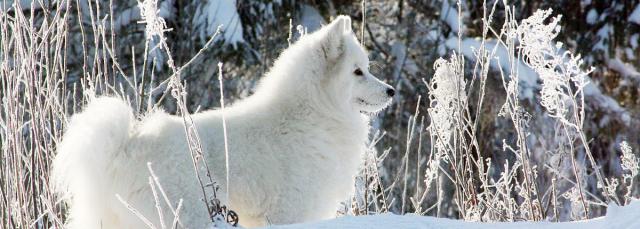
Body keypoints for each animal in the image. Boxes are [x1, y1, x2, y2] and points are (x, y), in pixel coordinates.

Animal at [53, 15, 396, 228]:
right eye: (358, 72)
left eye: (367, 68)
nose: (391, 91)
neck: (312, 113)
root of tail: (125, 146)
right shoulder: (290, 211)